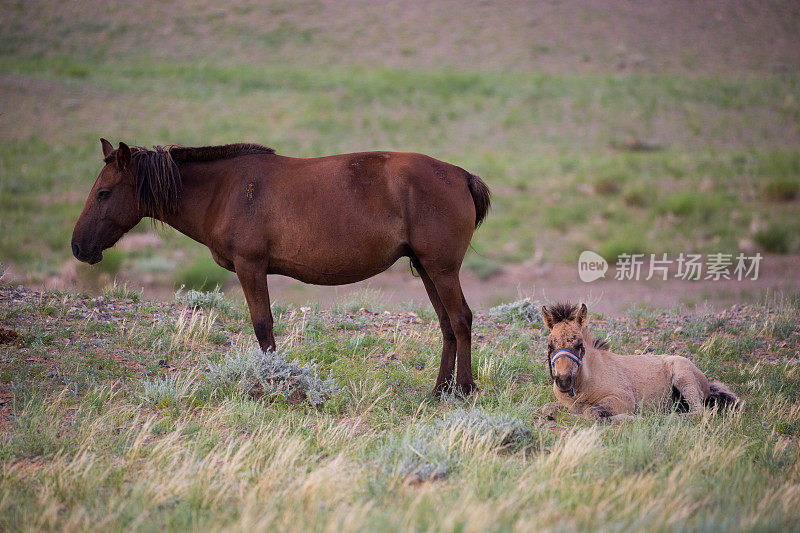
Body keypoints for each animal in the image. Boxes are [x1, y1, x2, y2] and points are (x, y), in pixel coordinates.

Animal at [73, 139, 488, 392]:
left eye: (104, 193)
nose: (78, 247)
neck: (223, 189)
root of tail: (461, 175)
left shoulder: (251, 266)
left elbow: (262, 326)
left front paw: (273, 382)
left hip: (442, 270)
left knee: (461, 319)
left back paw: (463, 390)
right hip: (428, 269)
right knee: (447, 324)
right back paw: (439, 390)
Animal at [540, 300, 740, 420]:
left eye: (579, 344)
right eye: (550, 344)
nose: (563, 381)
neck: (585, 383)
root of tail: (707, 384)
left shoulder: (623, 399)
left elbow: (590, 412)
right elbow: (548, 408)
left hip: (684, 378)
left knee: (698, 412)